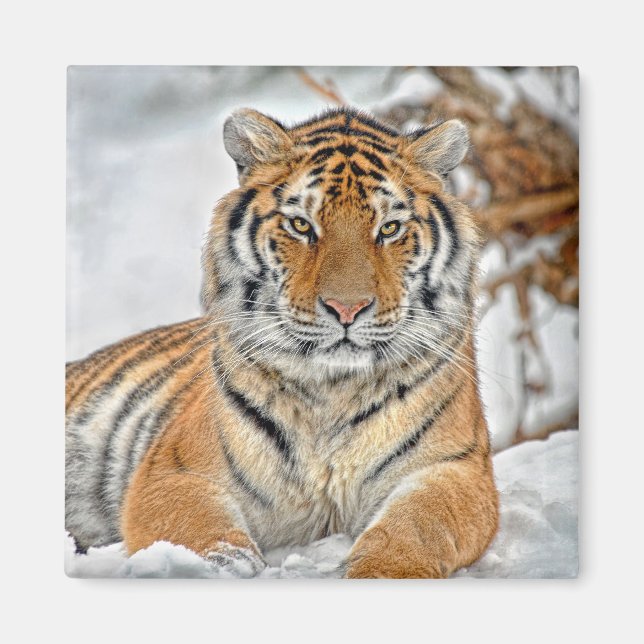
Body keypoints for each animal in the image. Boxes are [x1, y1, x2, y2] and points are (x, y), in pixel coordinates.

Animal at [65, 106, 499, 578]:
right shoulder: (175, 469)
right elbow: (199, 531)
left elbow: (417, 527)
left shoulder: (455, 468)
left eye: (389, 228)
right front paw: (225, 566)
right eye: (301, 225)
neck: (333, 392)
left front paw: (382, 571)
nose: (347, 308)